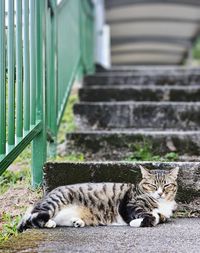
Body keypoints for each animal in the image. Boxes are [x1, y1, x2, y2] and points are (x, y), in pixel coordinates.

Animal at [17, 165, 178, 232]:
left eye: (167, 185)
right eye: (152, 185)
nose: (160, 193)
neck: (161, 203)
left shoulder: (164, 214)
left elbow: (159, 217)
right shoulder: (130, 205)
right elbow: (150, 216)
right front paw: (136, 222)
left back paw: (75, 222)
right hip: (54, 203)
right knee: (30, 219)